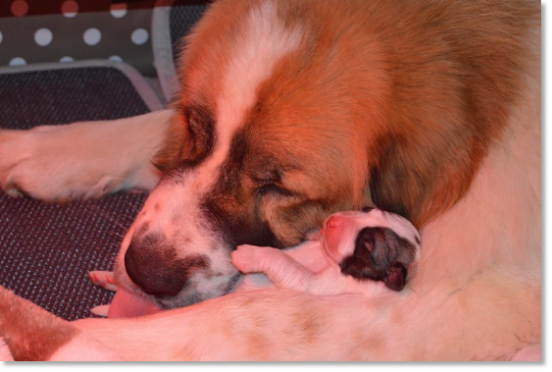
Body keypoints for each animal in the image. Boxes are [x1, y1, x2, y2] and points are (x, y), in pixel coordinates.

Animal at [231, 209, 420, 296]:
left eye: (366, 245)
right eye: (367, 210)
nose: (332, 221)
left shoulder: (316, 284)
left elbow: (281, 259)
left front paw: (247, 255)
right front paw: (315, 233)